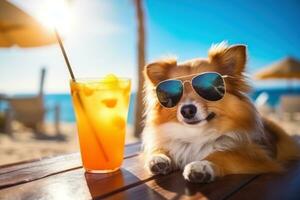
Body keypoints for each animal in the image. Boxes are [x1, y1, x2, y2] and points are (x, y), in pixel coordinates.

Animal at [141, 41, 300, 183]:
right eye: (174, 93)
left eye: (208, 88)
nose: (186, 110)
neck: (197, 135)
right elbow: (161, 149)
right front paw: (158, 157)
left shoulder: (257, 156)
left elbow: (223, 154)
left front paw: (202, 165)